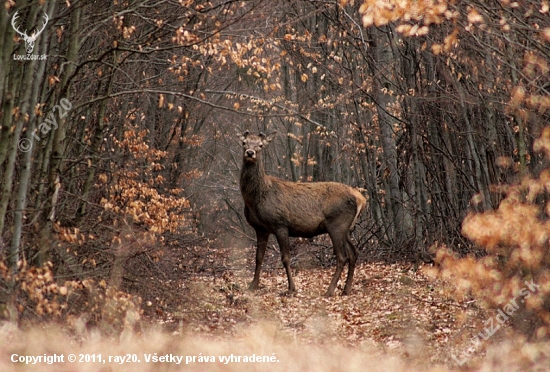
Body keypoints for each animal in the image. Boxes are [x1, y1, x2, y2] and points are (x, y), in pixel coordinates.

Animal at [240, 131, 366, 296]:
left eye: (261, 145)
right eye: (244, 142)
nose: (250, 152)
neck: (256, 199)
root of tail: (361, 198)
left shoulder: (280, 224)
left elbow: (285, 258)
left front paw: (291, 288)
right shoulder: (260, 228)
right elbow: (258, 257)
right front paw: (252, 286)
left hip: (337, 224)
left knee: (342, 256)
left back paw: (330, 290)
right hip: (346, 228)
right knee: (354, 252)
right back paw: (346, 289)